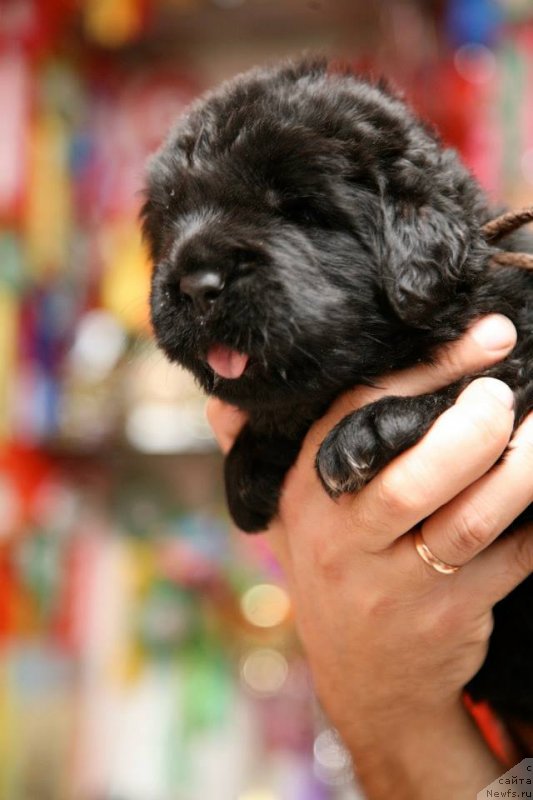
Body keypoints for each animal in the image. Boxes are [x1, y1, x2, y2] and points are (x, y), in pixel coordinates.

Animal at [141, 59, 532, 724]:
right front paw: (249, 465)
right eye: (171, 219)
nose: (195, 284)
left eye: (299, 211)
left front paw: (371, 428)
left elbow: (502, 371)